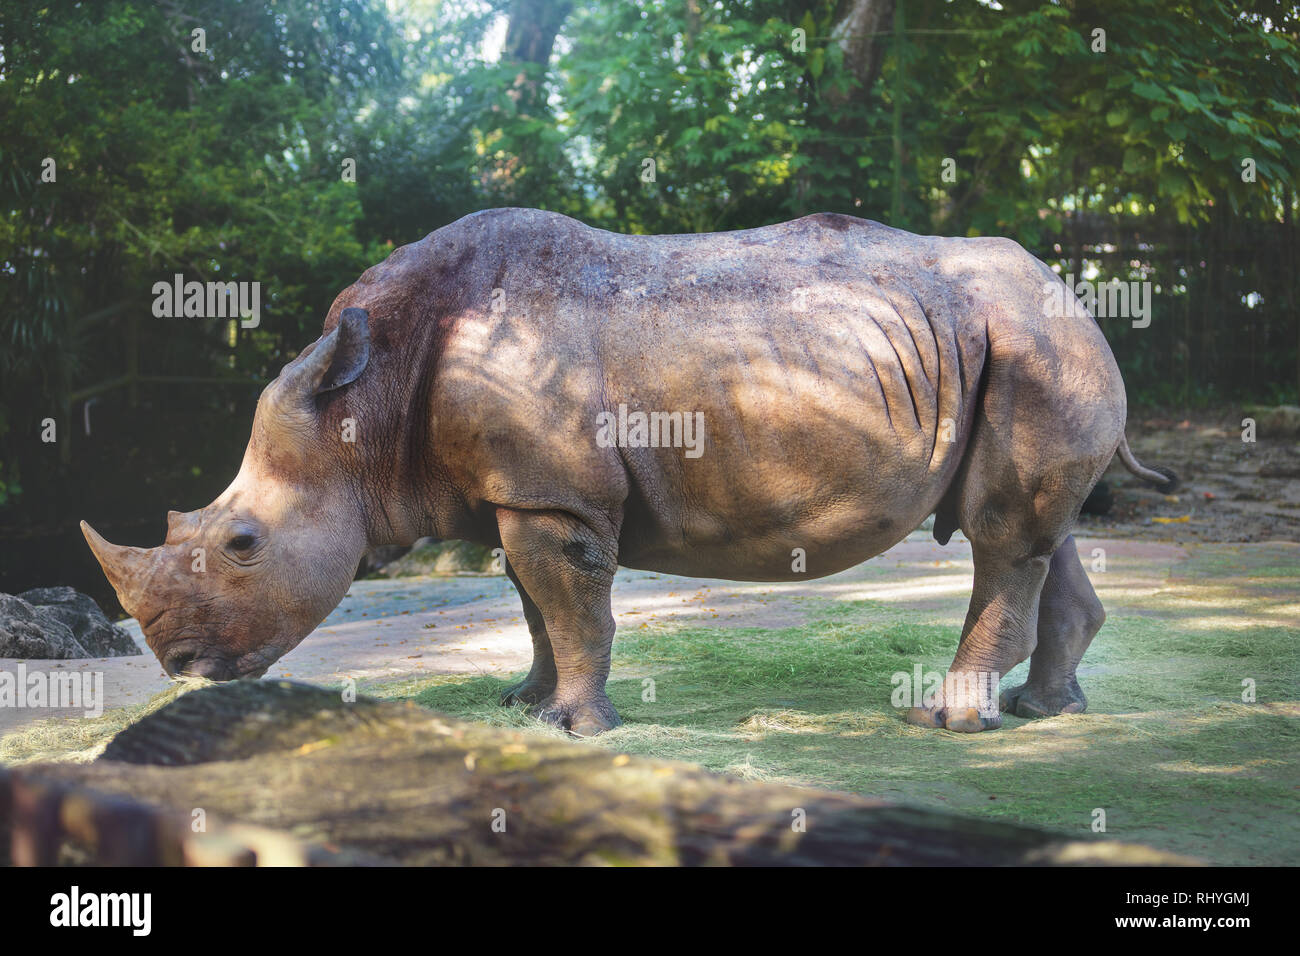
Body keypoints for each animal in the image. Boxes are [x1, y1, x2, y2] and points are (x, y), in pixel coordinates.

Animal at [83, 209, 1175, 735]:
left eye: (241, 543)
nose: (183, 670)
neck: (365, 402)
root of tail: (1077, 289)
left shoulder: (554, 495)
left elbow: (572, 605)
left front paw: (576, 728)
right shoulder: (520, 490)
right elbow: (533, 603)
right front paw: (524, 707)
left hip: (1035, 344)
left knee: (1002, 535)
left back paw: (948, 721)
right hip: (1029, 347)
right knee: (1039, 534)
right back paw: (1045, 711)